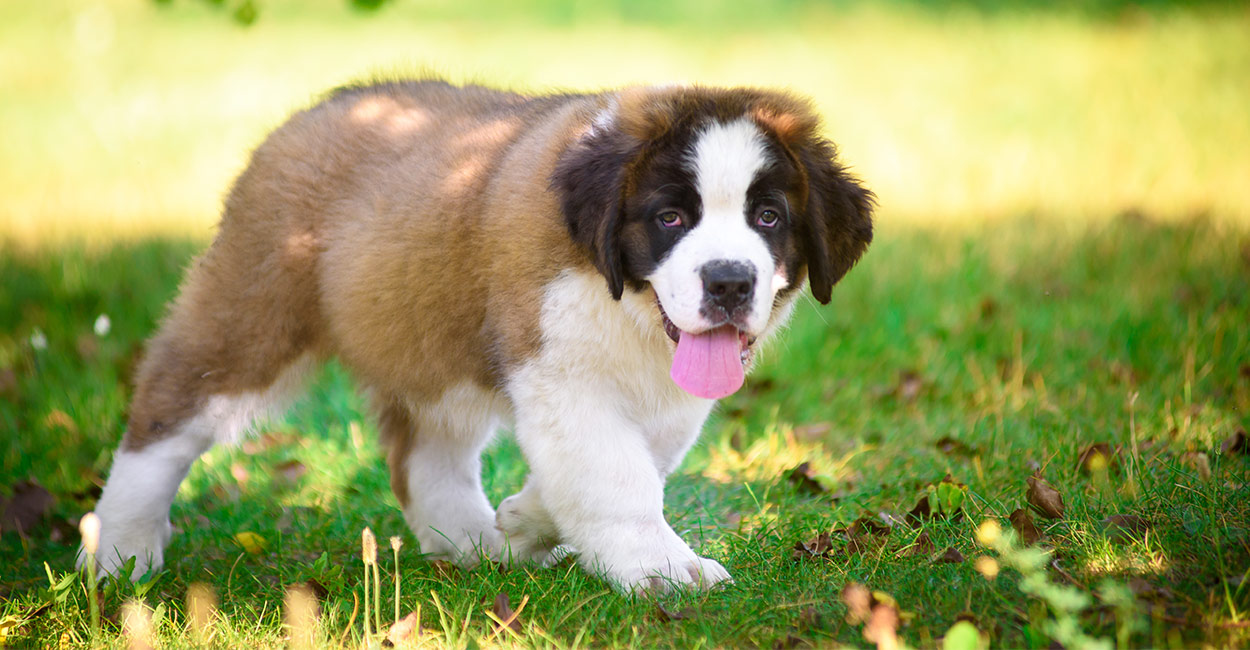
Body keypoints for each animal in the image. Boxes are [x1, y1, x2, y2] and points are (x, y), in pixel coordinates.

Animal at [85, 78, 870, 592]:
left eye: (768, 217)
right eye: (671, 218)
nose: (730, 282)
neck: (625, 302)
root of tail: (326, 105)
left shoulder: (661, 395)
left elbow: (624, 464)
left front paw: (526, 520)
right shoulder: (558, 370)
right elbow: (617, 475)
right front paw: (663, 570)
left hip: (429, 340)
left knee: (426, 458)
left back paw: (476, 546)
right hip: (252, 314)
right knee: (168, 414)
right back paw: (120, 551)